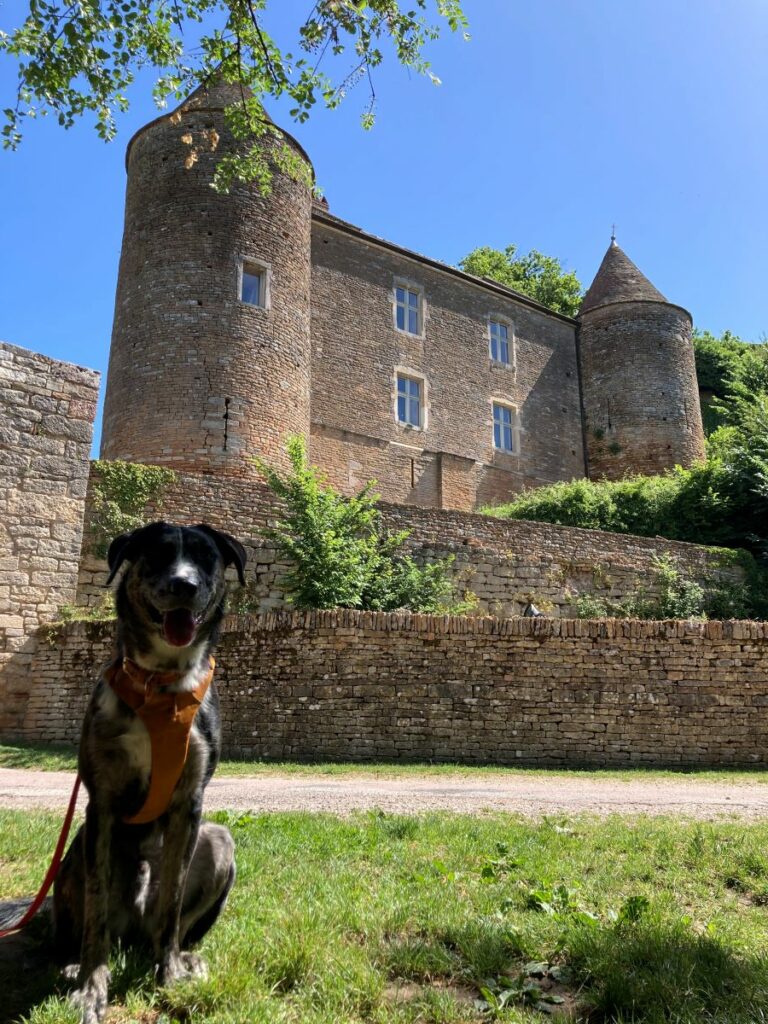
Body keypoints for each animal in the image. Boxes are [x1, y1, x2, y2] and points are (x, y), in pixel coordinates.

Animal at [54, 524, 246, 1019]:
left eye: (205, 557)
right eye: (156, 555)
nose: (184, 585)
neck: (160, 686)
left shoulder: (189, 804)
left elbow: (172, 905)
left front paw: (170, 972)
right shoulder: (100, 804)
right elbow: (96, 909)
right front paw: (91, 986)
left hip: (218, 840)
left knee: (165, 925)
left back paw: (184, 955)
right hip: (74, 854)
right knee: (83, 926)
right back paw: (73, 963)